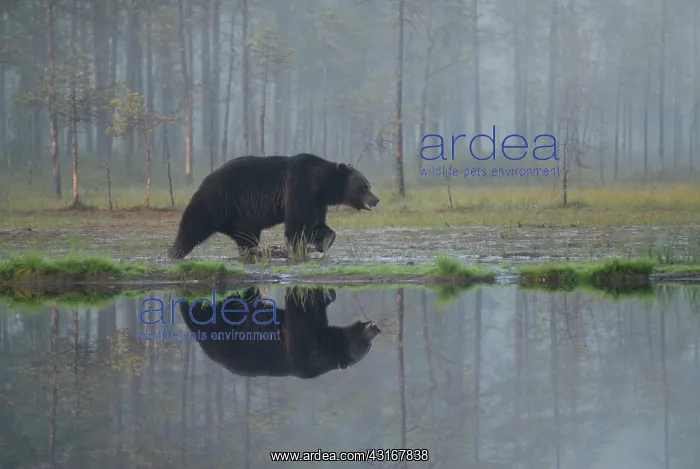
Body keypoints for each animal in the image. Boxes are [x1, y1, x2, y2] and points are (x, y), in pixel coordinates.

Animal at [167, 153, 380, 259]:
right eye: (365, 185)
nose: (376, 199)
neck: (321, 185)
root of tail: (208, 177)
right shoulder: (299, 188)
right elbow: (297, 225)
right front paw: (299, 249)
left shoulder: (317, 201)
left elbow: (316, 225)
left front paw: (322, 242)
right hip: (219, 199)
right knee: (194, 224)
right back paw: (175, 251)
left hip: (243, 217)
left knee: (246, 237)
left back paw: (252, 251)